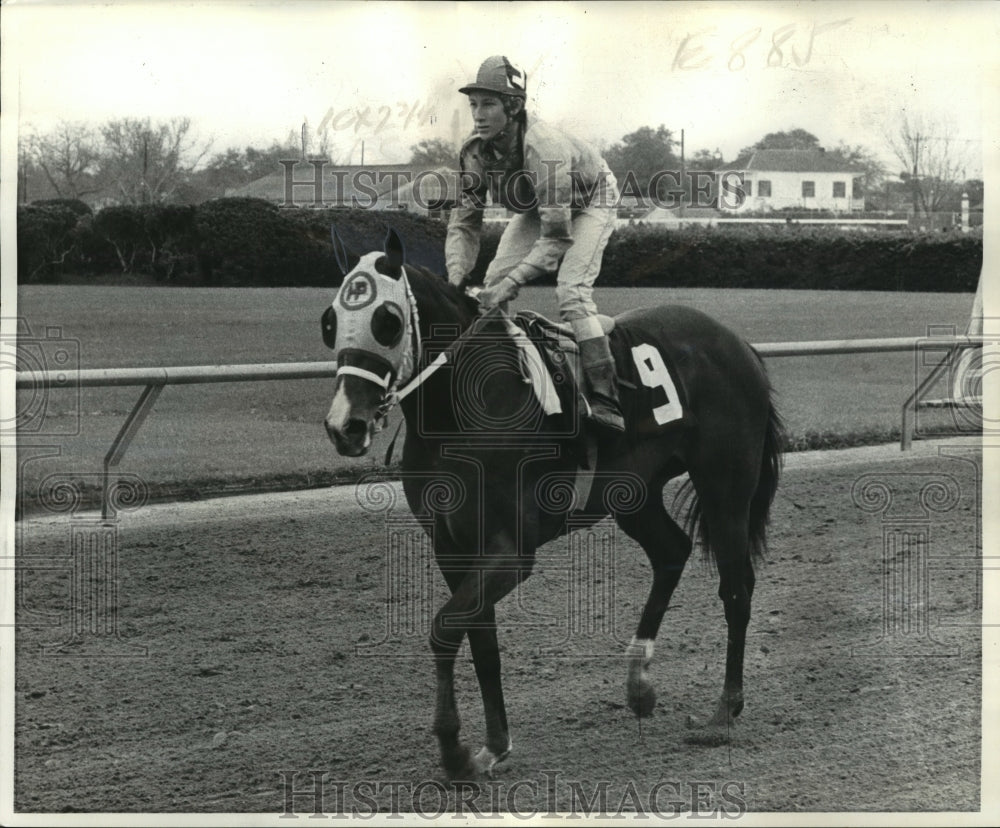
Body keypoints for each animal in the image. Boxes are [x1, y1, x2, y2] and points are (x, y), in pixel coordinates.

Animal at [324, 225, 784, 776]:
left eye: (387, 321)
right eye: (330, 322)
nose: (344, 426)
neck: (463, 406)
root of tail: (737, 342)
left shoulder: (510, 550)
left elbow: (444, 627)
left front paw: (453, 749)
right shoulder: (451, 546)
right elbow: (479, 639)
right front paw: (494, 744)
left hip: (725, 485)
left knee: (736, 589)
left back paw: (723, 712)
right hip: (633, 493)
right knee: (671, 552)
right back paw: (639, 686)